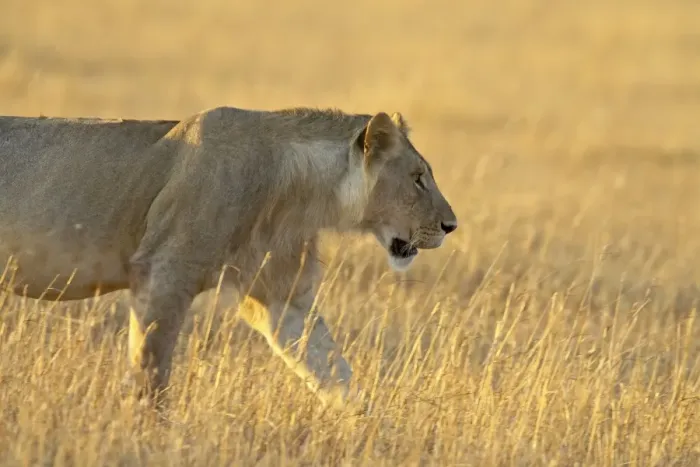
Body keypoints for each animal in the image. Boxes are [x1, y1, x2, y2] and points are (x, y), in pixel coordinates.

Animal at [0, 106, 457, 410]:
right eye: (418, 179)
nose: (452, 225)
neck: (299, 195)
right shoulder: (163, 270)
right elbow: (151, 369)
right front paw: (148, 434)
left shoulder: (282, 299)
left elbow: (334, 370)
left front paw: (376, 432)